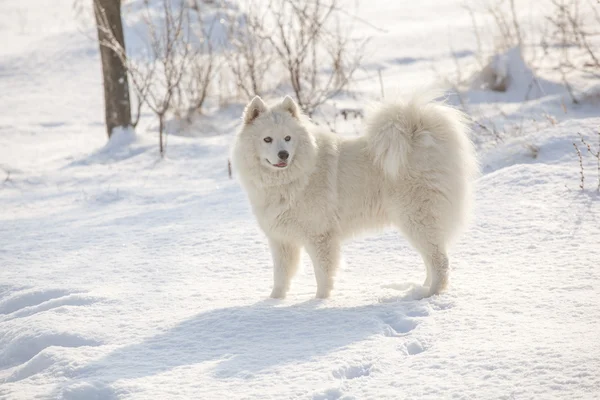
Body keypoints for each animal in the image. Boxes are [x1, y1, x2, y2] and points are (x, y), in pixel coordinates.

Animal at [232, 94, 476, 298]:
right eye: (267, 139)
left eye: (288, 138)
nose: (283, 154)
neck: (291, 179)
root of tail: (422, 135)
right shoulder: (281, 240)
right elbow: (281, 276)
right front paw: (274, 302)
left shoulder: (320, 236)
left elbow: (323, 274)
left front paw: (319, 302)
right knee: (431, 259)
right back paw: (422, 288)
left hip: (417, 219)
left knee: (440, 261)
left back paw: (431, 294)